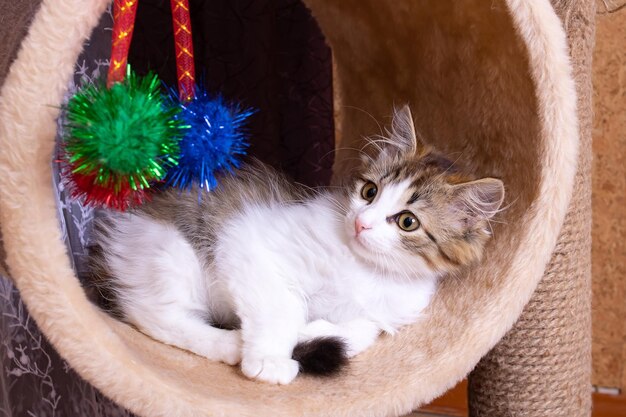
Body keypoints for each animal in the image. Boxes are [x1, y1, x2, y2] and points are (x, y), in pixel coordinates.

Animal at [86, 106, 502, 384]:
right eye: (370, 192)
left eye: (407, 221)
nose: (361, 223)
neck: (367, 268)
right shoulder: (248, 240)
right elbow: (281, 307)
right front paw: (270, 358)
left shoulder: (386, 312)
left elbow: (361, 331)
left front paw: (308, 335)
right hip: (171, 253)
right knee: (154, 315)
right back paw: (230, 343)